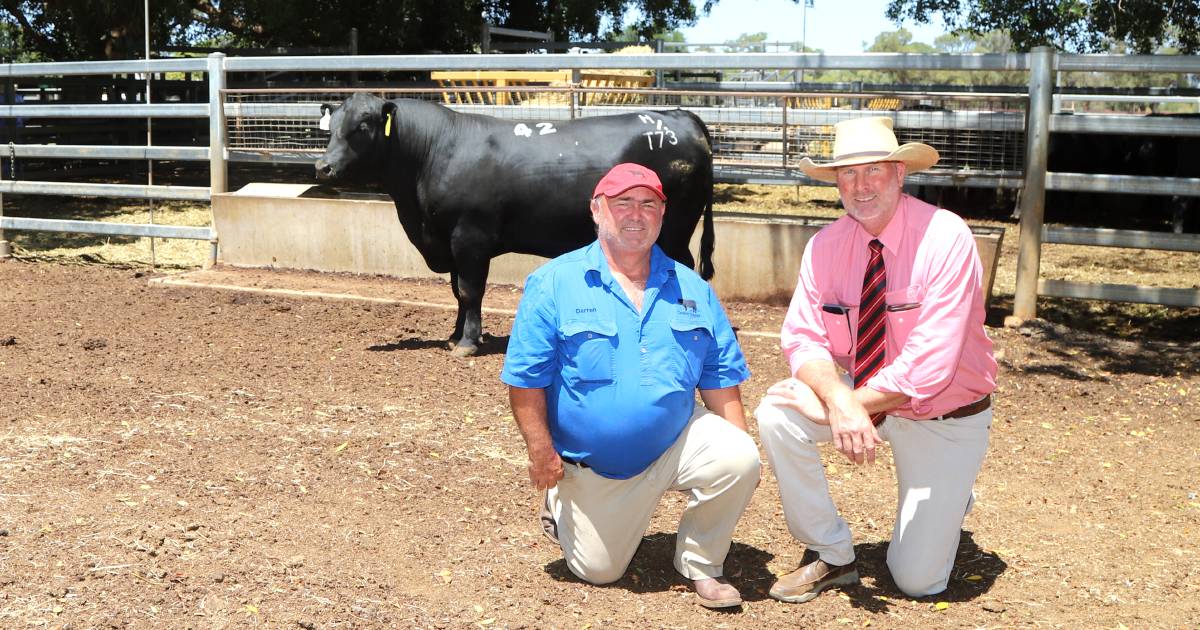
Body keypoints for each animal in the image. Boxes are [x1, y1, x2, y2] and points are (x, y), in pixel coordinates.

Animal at [314, 94, 715, 357]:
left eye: (362, 126)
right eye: (331, 128)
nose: (323, 167)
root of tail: (679, 115)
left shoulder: (470, 236)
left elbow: (470, 290)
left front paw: (468, 343)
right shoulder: (450, 240)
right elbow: (456, 291)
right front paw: (455, 334)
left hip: (674, 229)